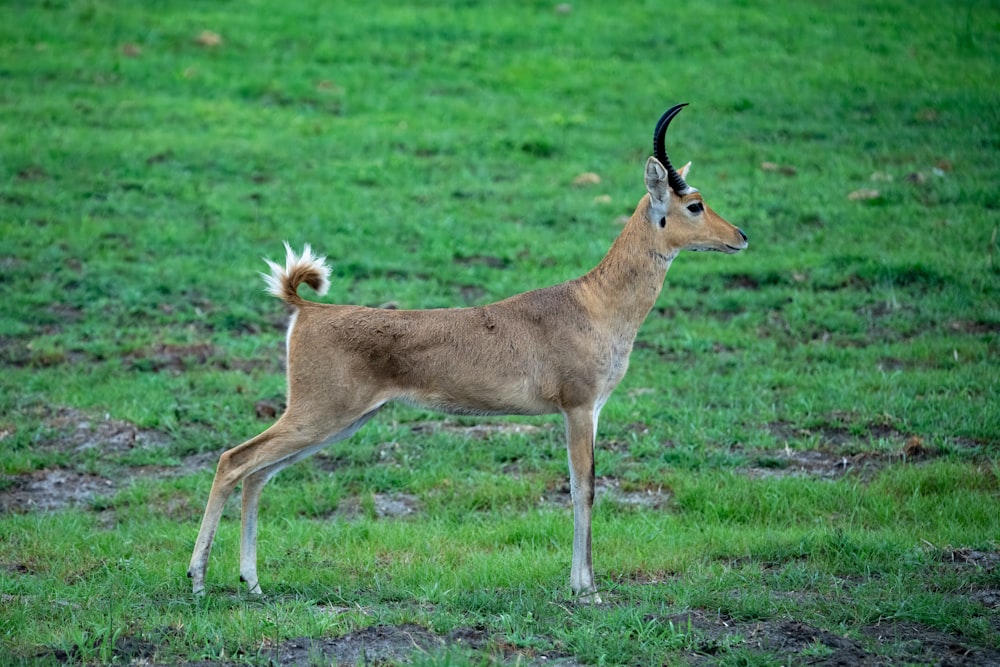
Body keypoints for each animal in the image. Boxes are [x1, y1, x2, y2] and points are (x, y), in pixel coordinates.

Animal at [189, 104, 752, 604]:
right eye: (694, 204)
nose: (741, 237)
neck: (593, 302)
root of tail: (307, 308)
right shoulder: (577, 409)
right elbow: (583, 489)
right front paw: (586, 590)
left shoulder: (592, 411)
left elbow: (583, 487)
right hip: (319, 414)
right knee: (234, 460)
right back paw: (197, 580)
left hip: (340, 421)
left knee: (258, 473)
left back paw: (252, 583)